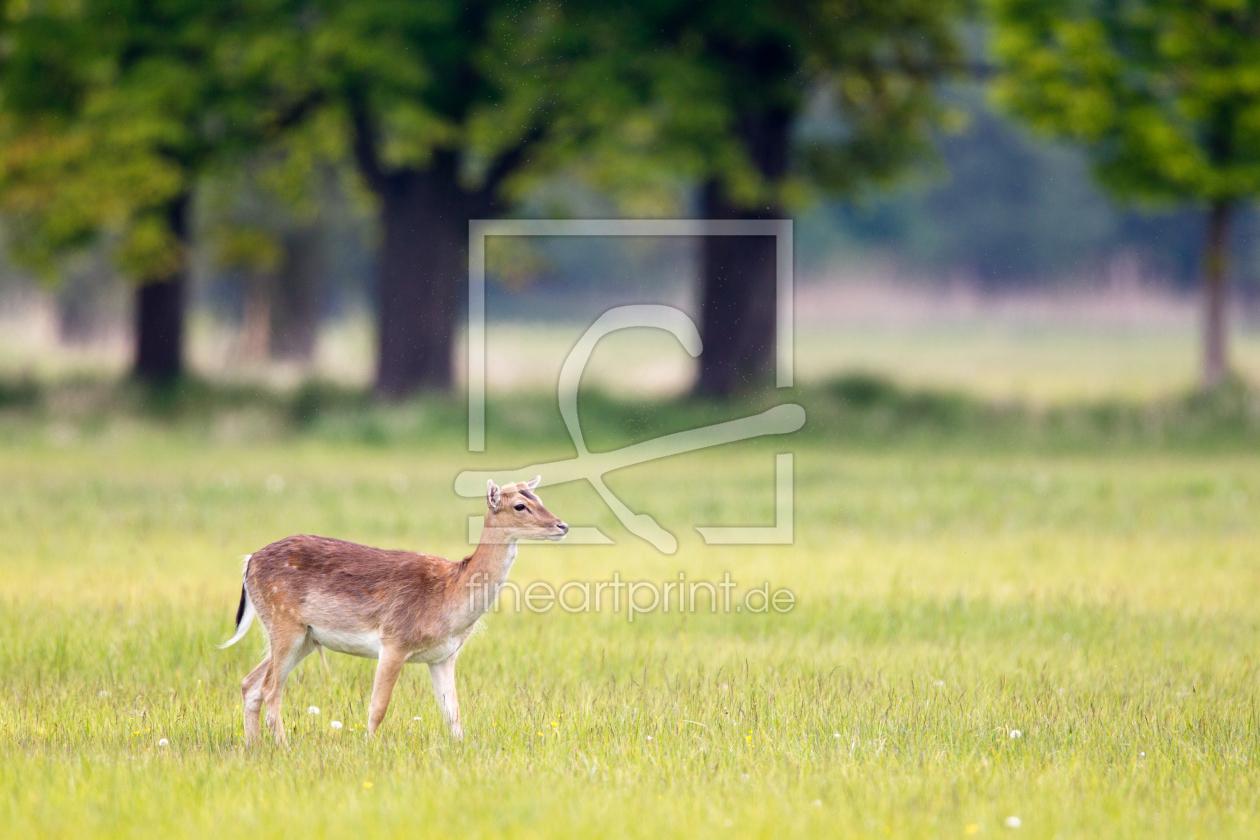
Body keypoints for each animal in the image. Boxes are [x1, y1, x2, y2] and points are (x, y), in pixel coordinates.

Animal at [220, 476, 567, 745]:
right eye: (520, 505)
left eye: (539, 498)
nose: (562, 525)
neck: (450, 598)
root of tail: (248, 562)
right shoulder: (394, 640)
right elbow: (378, 707)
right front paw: (368, 747)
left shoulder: (443, 656)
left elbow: (453, 713)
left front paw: (461, 748)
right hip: (284, 623)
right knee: (269, 688)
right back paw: (283, 746)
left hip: (305, 637)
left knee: (250, 683)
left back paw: (253, 746)